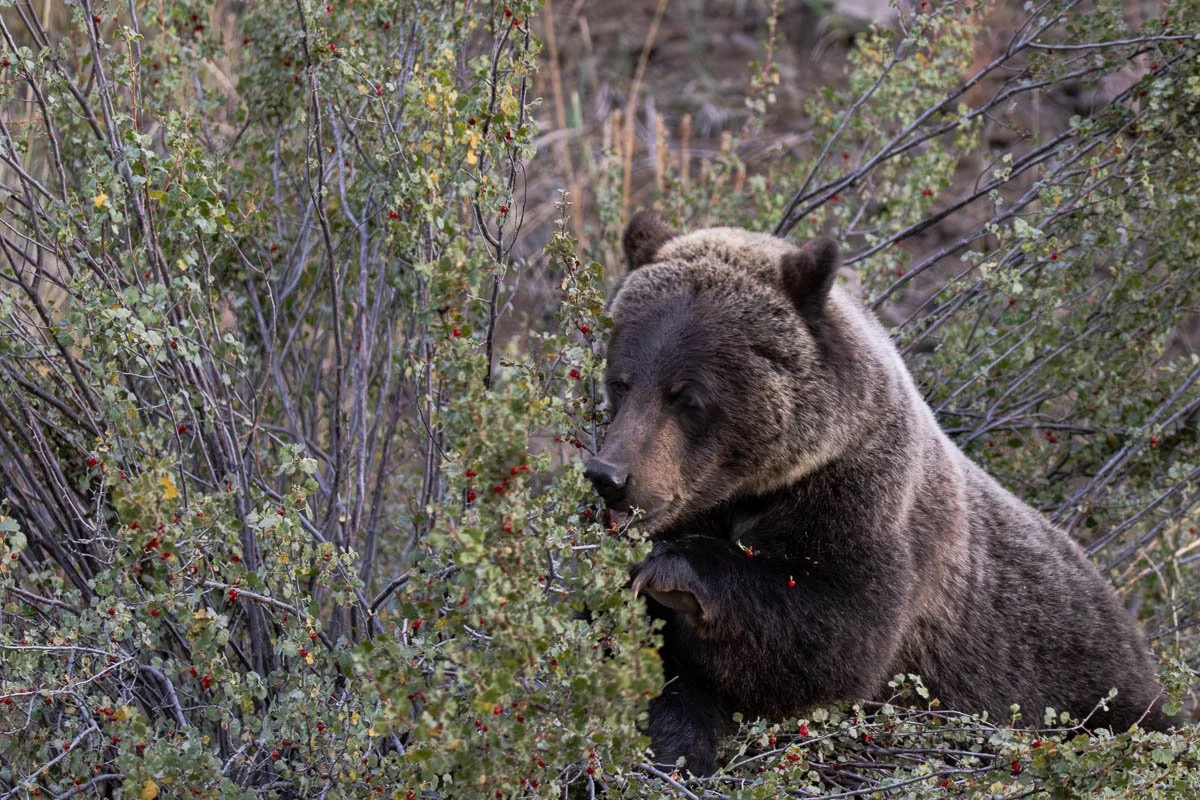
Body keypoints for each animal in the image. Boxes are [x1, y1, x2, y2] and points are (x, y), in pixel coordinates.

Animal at [583, 211, 1177, 776]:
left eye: (688, 396)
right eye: (622, 381)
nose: (611, 476)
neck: (753, 489)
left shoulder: (865, 500)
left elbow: (836, 639)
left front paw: (673, 572)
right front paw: (678, 747)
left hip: (1091, 678)